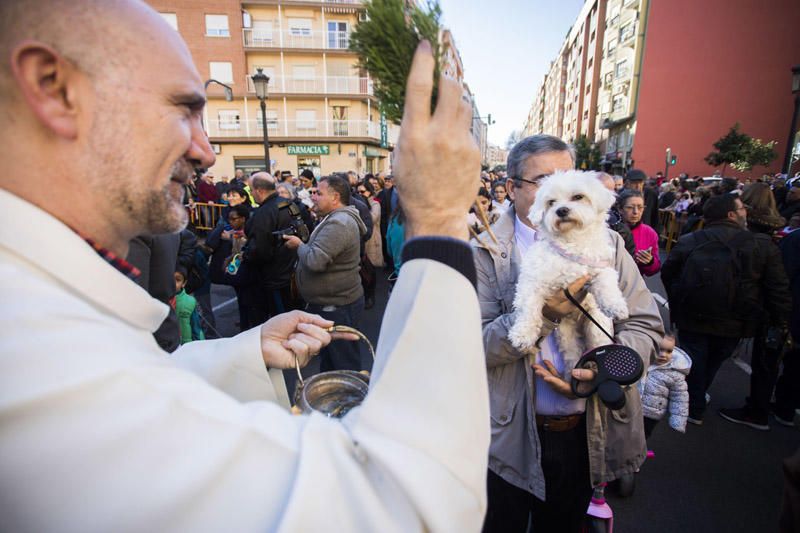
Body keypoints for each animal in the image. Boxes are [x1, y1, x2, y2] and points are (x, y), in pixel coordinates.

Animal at [510, 170, 628, 374]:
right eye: (551, 202)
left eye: (578, 197)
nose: (561, 210)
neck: (570, 241)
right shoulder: (533, 281)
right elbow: (528, 308)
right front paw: (523, 334)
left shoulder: (600, 267)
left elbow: (606, 285)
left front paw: (616, 305)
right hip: (566, 332)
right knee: (572, 352)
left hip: (596, 325)